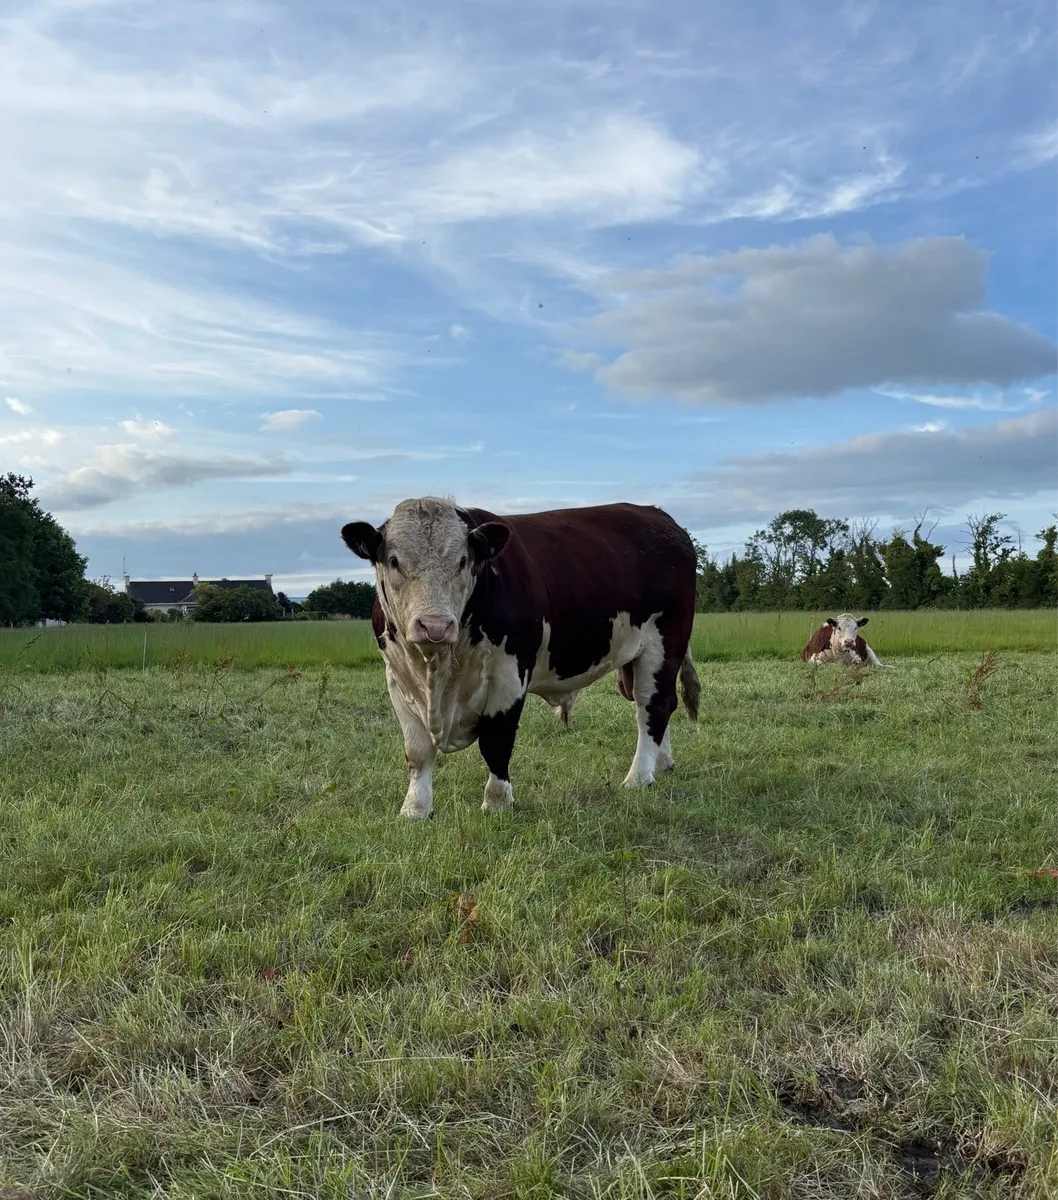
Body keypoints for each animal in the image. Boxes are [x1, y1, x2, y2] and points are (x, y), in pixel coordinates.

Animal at [341, 498, 700, 820]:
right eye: (394, 561)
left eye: (462, 561)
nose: (435, 626)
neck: (438, 672)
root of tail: (660, 518)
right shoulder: (397, 677)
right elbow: (417, 750)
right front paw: (415, 809)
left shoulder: (509, 675)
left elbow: (496, 741)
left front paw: (497, 802)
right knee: (653, 705)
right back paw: (661, 765)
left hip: (664, 643)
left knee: (653, 704)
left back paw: (639, 777)